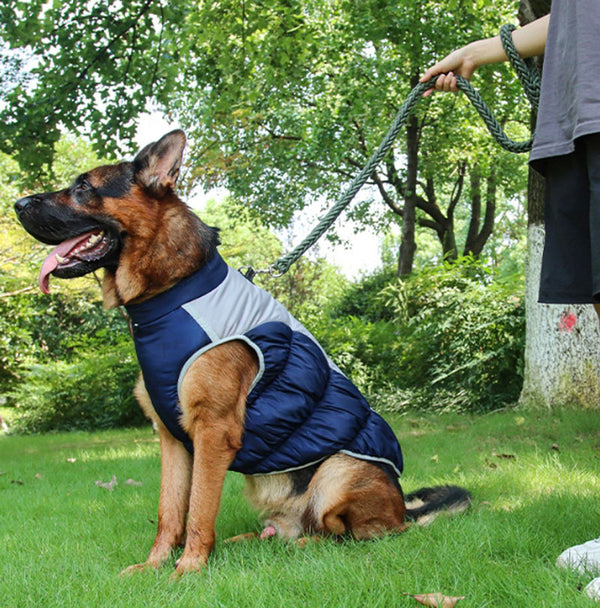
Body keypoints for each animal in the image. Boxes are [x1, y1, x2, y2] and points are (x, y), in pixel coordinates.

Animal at [12, 131, 468, 576]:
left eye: (83, 187)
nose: (17, 203)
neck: (172, 295)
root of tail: (403, 509)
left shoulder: (213, 432)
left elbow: (198, 509)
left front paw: (187, 571)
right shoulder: (172, 441)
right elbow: (169, 511)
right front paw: (154, 566)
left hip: (338, 474)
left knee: (357, 533)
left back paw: (308, 543)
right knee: (292, 531)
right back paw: (252, 541)